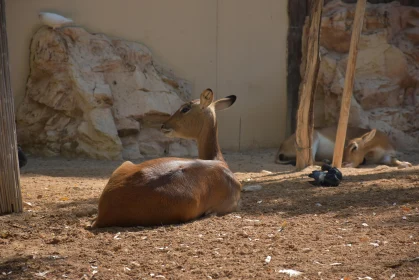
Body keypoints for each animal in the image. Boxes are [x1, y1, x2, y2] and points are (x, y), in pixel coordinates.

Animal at [276, 126, 414, 168]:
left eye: (354, 147)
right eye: (345, 146)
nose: (344, 163)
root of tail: (281, 147)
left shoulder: (386, 157)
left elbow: (394, 160)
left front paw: (406, 163)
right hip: (313, 140)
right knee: (311, 161)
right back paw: (328, 162)